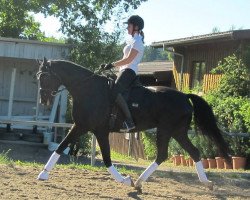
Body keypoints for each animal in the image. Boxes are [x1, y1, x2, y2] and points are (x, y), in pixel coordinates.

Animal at [36, 57, 229, 192]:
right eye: (38, 77)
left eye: (45, 77)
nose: (44, 100)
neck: (88, 90)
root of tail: (185, 96)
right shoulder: (80, 126)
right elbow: (60, 147)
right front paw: (43, 174)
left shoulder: (99, 130)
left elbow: (106, 158)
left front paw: (125, 180)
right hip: (177, 132)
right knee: (193, 152)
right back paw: (206, 183)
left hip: (166, 130)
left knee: (163, 155)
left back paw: (138, 182)